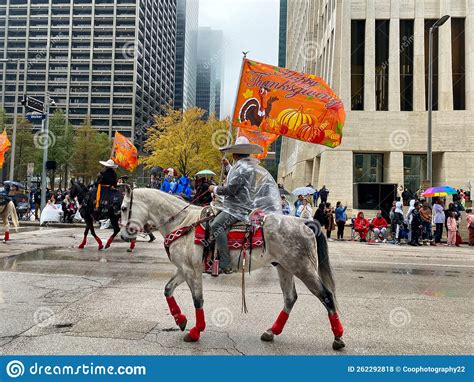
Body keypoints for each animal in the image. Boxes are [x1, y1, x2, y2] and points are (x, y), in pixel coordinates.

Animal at [120, 187, 346, 350]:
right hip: (284, 268)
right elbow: (168, 290)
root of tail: (305, 223)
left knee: (326, 296)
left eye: (122, 208)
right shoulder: (184, 269)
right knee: (290, 298)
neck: (183, 223)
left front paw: (195, 331)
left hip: (303, 268)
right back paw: (271, 332)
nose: (122, 235)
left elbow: (198, 300)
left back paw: (338, 338)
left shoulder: (192, 271)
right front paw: (181, 320)